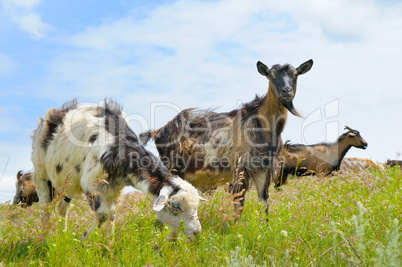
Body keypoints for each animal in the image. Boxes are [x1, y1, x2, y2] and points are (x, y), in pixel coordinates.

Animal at [141, 59, 314, 215]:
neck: (261, 124)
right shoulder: (240, 167)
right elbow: (239, 203)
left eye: (295, 75)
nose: (287, 91)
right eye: (271, 76)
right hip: (170, 167)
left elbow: (264, 202)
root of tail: (158, 131)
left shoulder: (262, 169)